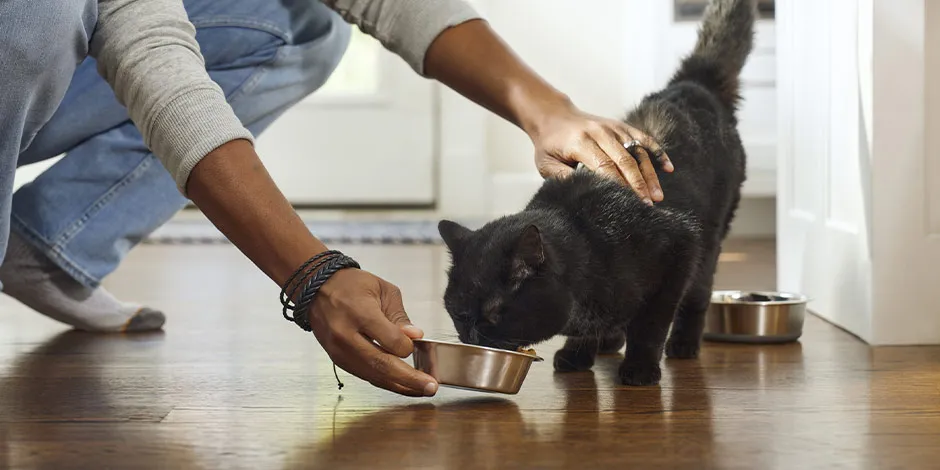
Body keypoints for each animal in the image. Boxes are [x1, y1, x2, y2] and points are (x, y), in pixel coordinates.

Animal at [440, 0, 756, 386]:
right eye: (457, 311)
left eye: (493, 313)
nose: (471, 336)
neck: (587, 240)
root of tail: (694, 83)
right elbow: (593, 328)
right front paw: (578, 353)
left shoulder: (678, 251)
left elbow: (650, 326)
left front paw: (640, 369)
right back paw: (610, 340)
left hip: (709, 243)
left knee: (697, 295)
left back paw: (682, 344)